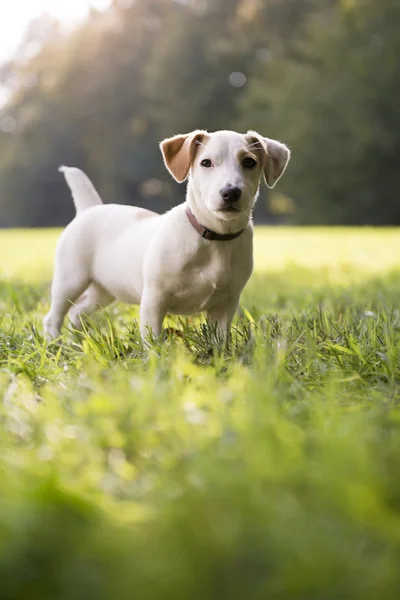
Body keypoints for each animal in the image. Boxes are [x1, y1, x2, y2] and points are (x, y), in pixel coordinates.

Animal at [42, 129, 290, 340]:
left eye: (249, 162)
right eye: (206, 163)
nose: (231, 192)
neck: (213, 237)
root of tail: (89, 209)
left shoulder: (225, 304)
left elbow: (219, 340)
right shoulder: (154, 300)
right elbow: (153, 340)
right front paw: (157, 361)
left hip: (104, 290)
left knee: (78, 312)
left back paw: (78, 340)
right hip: (70, 280)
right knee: (53, 316)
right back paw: (56, 344)